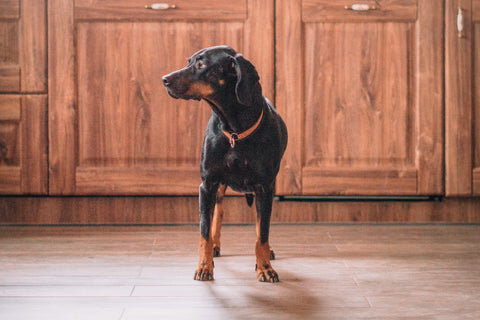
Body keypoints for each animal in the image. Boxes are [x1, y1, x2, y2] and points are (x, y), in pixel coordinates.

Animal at [163, 45, 286, 282]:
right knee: (217, 214)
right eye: (189, 61)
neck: (235, 130)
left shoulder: (265, 187)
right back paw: (215, 248)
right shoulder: (207, 184)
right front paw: (204, 266)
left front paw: (265, 267)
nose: (164, 79)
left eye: (201, 64)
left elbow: (263, 232)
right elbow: (204, 231)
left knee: (261, 223)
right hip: (218, 187)